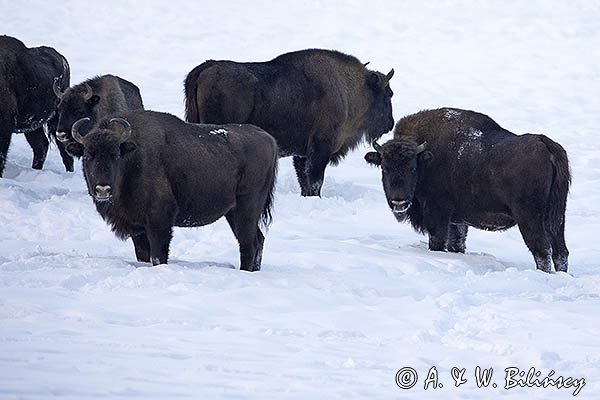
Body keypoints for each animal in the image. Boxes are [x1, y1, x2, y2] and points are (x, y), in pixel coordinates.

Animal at [71, 110, 278, 272]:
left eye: (116, 155)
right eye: (87, 155)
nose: (102, 189)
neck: (133, 158)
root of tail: (269, 139)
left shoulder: (159, 221)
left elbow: (158, 255)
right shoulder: (137, 229)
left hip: (246, 209)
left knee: (248, 244)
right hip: (233, 213)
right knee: (258, 240)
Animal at [185, 48, 396, 197]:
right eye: (388, 94)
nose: (390, 123)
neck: (349, 89)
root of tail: (206, 69)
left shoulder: (302, 153)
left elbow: (304, 181)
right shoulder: (320, 149)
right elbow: (315, 181)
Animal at [364, 108, 568, 274]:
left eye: (412, 167)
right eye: (384, 168)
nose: (398, 202)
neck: (426, 159)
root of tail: (544, 143)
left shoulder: (437, 216)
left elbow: (438, 241)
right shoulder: (457, 222)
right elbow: (457, 244)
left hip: (529, 218)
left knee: (542, 250)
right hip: (557, 219)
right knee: (560, 252)